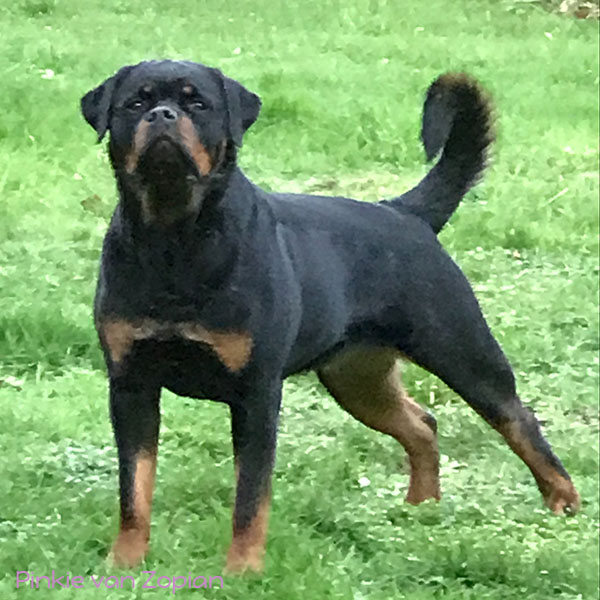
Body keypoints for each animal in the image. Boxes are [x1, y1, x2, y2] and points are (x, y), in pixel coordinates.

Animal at [80, 60, 580, 573]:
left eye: (197, 103)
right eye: (134, 103)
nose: (162, 114)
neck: (174, 240)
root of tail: (405, 213)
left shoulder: (256, 394)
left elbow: (250, 496)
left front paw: (242, 569)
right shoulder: (131, 386)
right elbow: (134, 487)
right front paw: (124, 562)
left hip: (462, 351)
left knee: (518, 419)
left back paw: (563, 503)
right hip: (356, 378)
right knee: (422, 425)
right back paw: (421, 508)